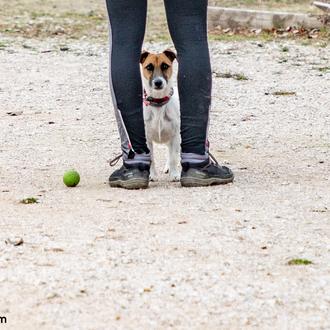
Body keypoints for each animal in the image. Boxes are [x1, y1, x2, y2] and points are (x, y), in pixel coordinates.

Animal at [140, 49, 180, 180]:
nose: (158, 82)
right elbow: (151, 159)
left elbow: (174, 157)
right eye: (149, 67)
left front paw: (174, 174)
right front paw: (152, 175)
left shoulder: (175, 136)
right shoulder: (147, 140)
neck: (158, 102)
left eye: (165, 66)